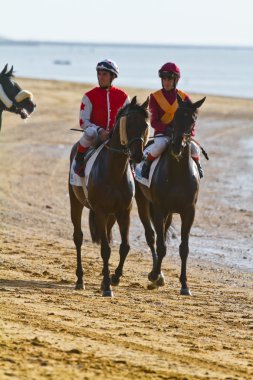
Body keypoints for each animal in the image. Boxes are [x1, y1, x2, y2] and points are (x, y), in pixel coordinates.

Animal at [68, 95, 149, 296]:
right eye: (129, 124)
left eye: (145, 125)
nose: (138, 155)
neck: (114, 171)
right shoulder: (101, 211)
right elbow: (105, 249)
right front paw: (106, 285)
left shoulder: (124, 211)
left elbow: (124, 246)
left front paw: (115, 277)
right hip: (75, 202)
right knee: (78, 237)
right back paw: (80, 279)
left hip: (111, 215)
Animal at [134, 94, 206, 294]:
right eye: (175, 117)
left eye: (193, 120)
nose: (177, 146)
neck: (177, 174)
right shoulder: (160, 209)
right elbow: (161, 245)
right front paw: (154, 276)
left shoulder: (188, 211)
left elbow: (184, 248)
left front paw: (184, 285)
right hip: (143, 202)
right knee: (152, 236)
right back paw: (155, 274)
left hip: (169, 213)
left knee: (162, 234)